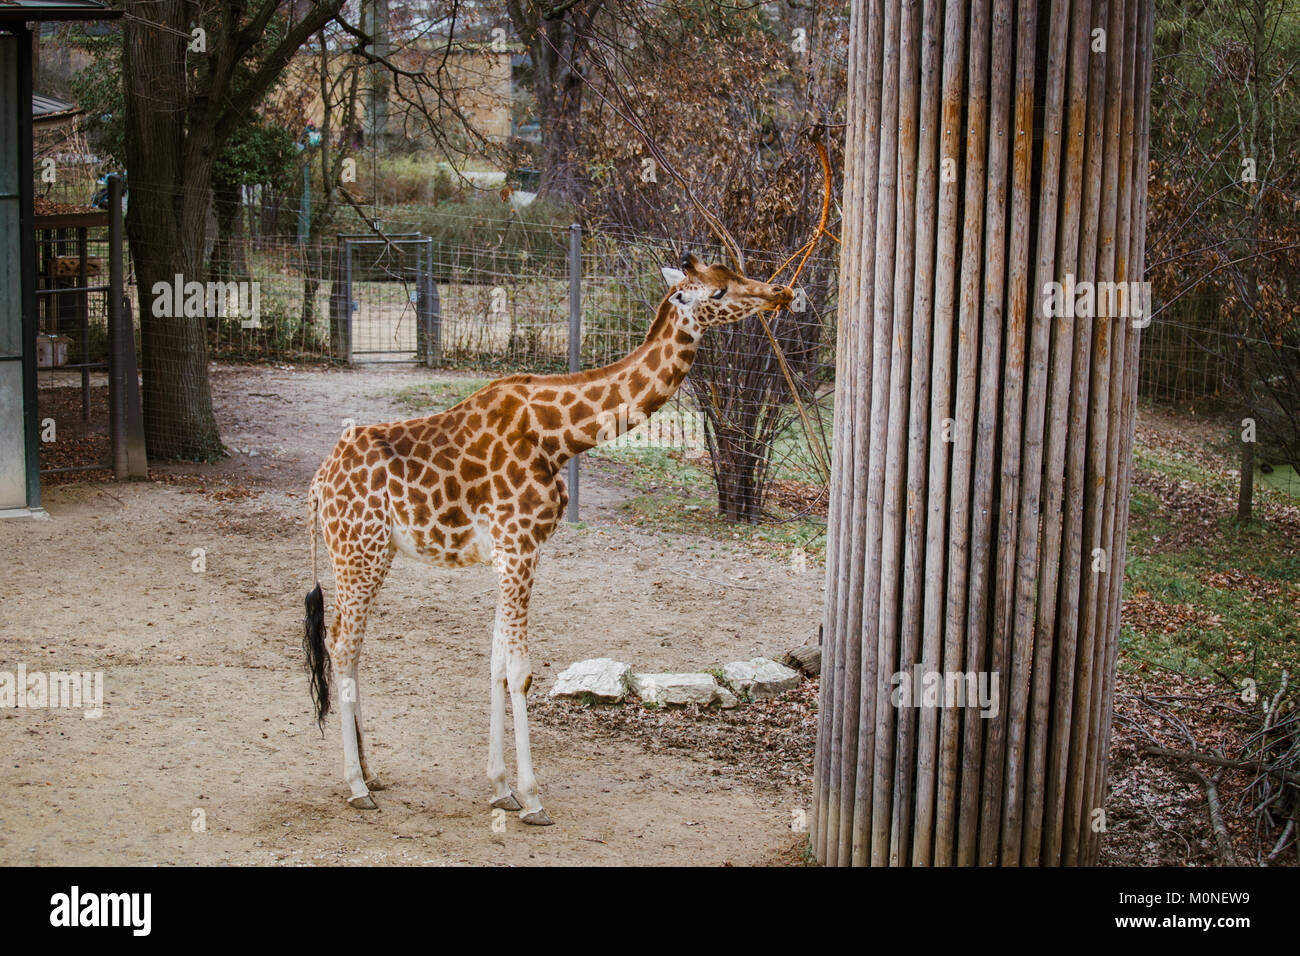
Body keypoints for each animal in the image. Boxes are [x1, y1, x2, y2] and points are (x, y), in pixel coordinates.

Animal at [302, 252, 790, 822]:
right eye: (716, 292)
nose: (780, 294)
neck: (558, 435)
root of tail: (318, 483)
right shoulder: (519, 548)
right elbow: (520, 672)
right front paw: (532, 798)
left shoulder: (511, 553)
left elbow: (495, 666)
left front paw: (500, 788)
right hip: (359, 553)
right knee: (342, 644)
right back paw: (356, 785)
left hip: (365, 555)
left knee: (348, 644)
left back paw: (372, 772)